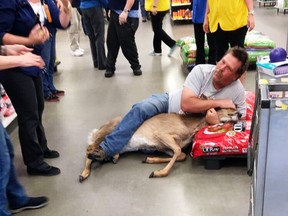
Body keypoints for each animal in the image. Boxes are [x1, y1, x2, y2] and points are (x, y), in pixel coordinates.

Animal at [79, 108, 238, 182]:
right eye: (227, 108)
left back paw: (113, 157)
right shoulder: (161, 134)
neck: (189, 126)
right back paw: (83, 174)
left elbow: (181, 155)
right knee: (89, 150)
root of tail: (96, 130)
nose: (238, 113)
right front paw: (158, 172)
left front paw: (149, 159)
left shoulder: (162, 146)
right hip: (107, 131)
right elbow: (178, 150)